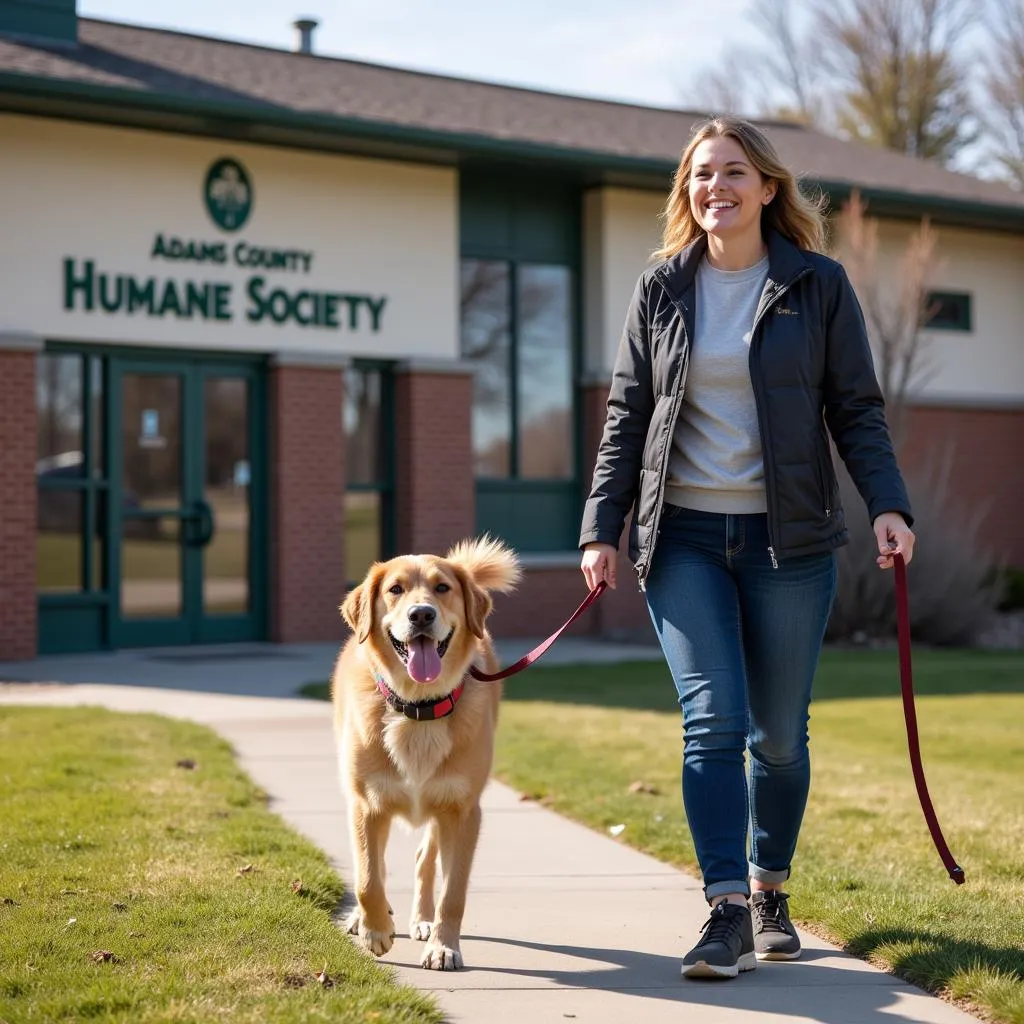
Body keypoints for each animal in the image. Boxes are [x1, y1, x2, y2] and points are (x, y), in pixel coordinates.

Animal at [331, 532, 520, 970]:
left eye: (442, 588)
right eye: (395, 589)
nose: (421, 615)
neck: (418, 707)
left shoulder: (462, 811)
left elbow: (453, 893)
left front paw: (443, 945)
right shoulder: (366, 804)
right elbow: (368, 877)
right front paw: (375, 929)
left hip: (438, 808)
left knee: (424, 859)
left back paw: (422, 921)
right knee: (377, 863)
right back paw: (365, 919)